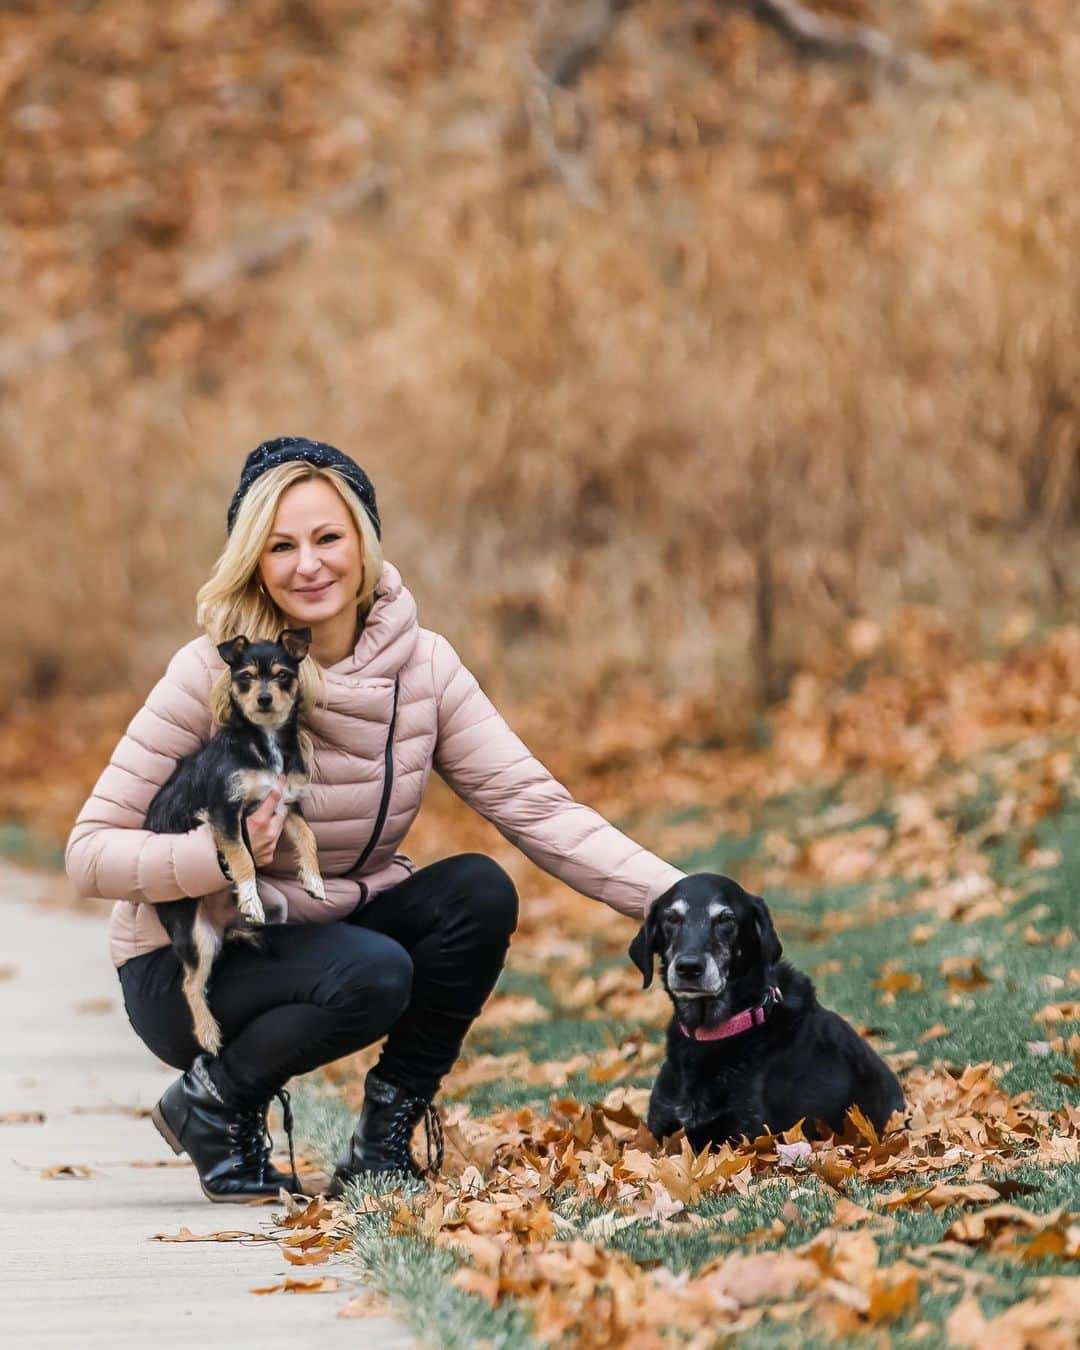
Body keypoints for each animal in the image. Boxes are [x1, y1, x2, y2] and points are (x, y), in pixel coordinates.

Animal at [146, 626, 325, 1058]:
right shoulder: (224, 812)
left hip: (276, 908)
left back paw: (248, 924)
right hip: (196, 937)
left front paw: (314, 880)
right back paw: (209, 1033)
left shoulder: (287, 804)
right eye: (245, 677)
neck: (265, 743)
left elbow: (309, 838)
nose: (263, 699)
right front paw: (248, 892)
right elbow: (241, 855)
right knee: (191, 983)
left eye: (282, 676)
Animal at [629, 874, 907, 1150]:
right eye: (671, 918)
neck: (712, 1035)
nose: (689, 967)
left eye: (726, 919)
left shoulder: (752, 1137)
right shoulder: (659, 1137)